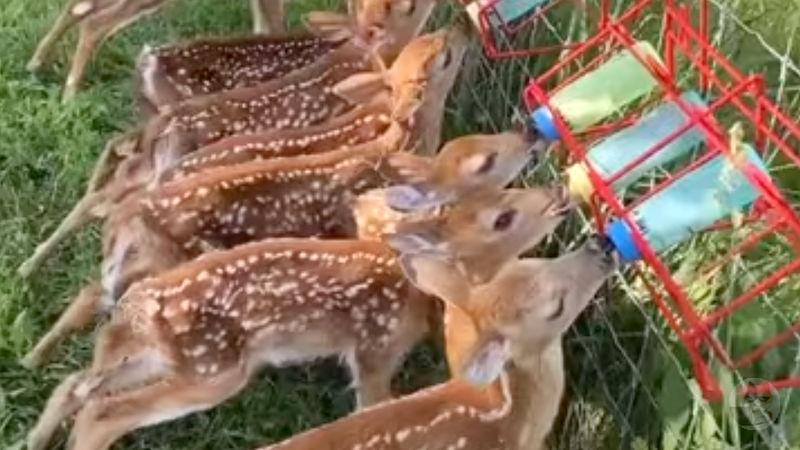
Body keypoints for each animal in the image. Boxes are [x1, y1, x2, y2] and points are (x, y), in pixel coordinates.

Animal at [26, 183, 573, 450]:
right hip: (212, 372)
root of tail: (144, 302)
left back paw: (34, 432)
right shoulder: (373, 352)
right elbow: (372, 406)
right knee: (102, 410)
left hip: (168, 358)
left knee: (79, 385)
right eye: (503, 219)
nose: (558, 194)